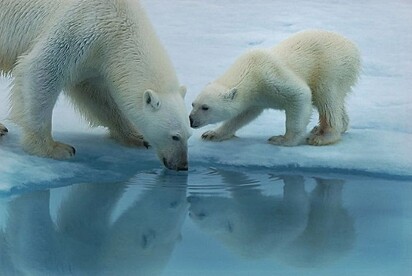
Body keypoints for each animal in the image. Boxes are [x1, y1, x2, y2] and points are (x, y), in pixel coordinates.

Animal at [0, 0, 190, 170]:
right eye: (175, 136)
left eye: (188, 135)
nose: (183, 166)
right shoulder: (81, 27)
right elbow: (41, 69)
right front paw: (54, 148)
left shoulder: (98, 57)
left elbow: (97, 95)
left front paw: (136, 136)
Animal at [190, 29, 360, 147]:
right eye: (193, 104)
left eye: (205, 107)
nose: (191, 120)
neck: (251, 72)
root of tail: (353, 47)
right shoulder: (255, 99)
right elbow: (242, 115)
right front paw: (212, 134)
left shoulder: (270, 76)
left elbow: (301, 94)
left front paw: (282, 139)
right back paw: (322, 128)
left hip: (331, 67)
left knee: (326, 98)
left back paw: (322, 137)